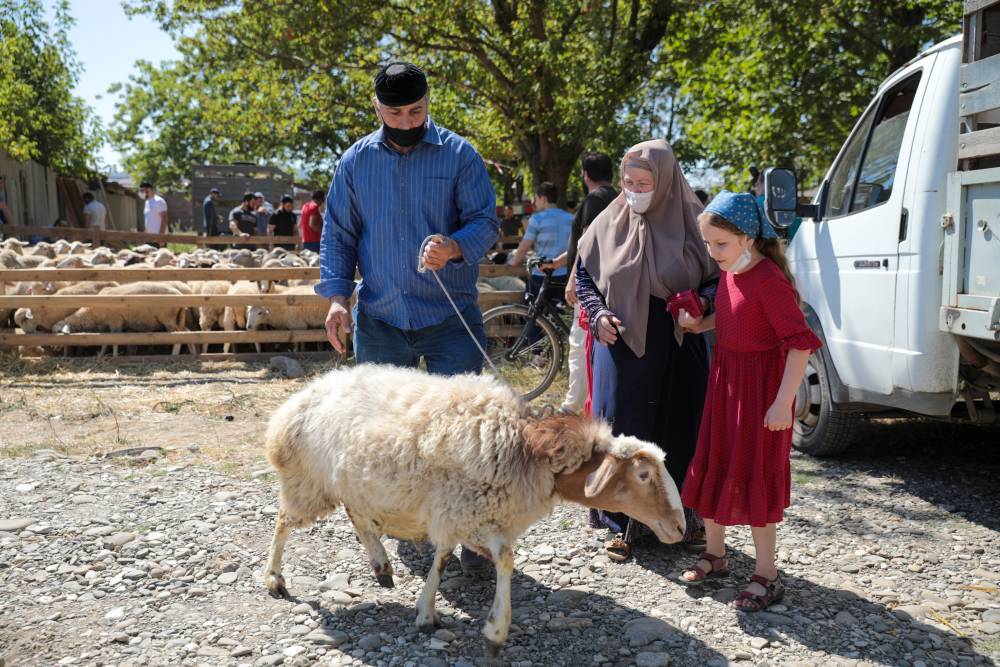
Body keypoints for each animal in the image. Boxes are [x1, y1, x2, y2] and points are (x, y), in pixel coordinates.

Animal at [266, 366, 688, 656]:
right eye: (644, 474)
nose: (681, 527)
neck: (528, 449)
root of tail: (299, 400)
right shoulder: (462, 510)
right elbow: (488, 560)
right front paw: (488, 629)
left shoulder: (469, 514)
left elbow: (456, 557)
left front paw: (434, 610)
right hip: (308, 481)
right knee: (283, 521)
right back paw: (275, 579)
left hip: (350, 485)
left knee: (356, 515)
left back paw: (381, 565)